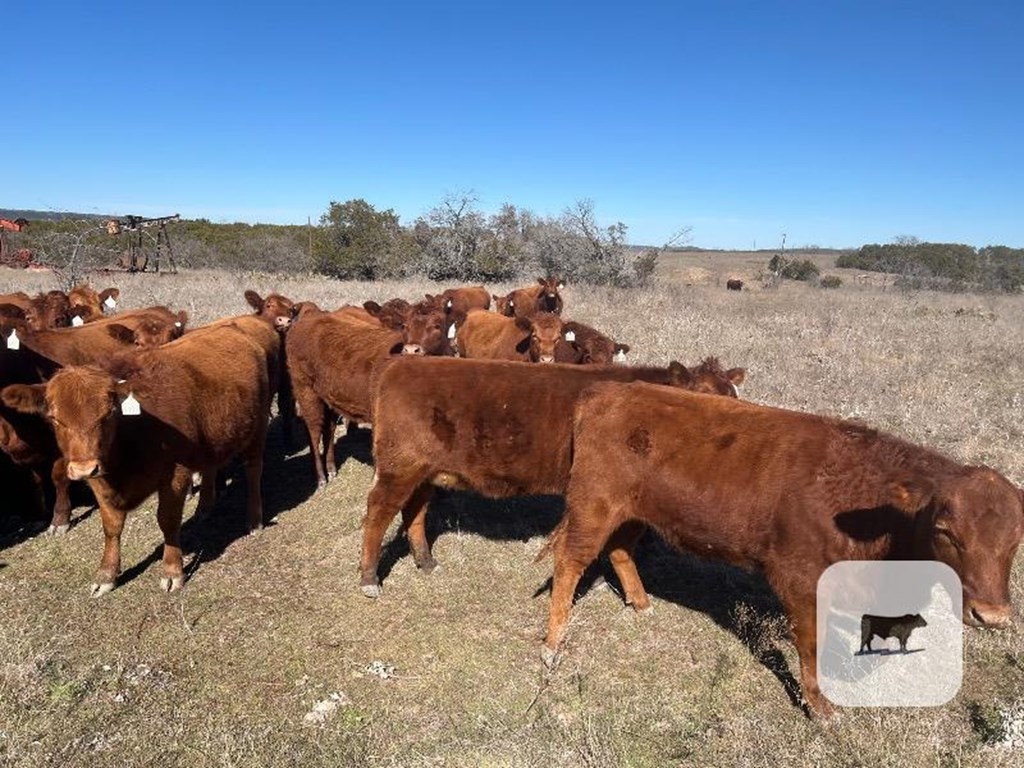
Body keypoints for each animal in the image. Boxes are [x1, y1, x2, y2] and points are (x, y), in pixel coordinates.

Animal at [1, 321, 272, 598]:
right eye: (54, 417)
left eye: (109, 413)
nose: (83, 468)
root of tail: (232, 327)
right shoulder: (99, 479)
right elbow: (111, 526)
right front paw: (106, 574)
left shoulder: (176, 472)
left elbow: (168, 520)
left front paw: (172, 571)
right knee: (210, 468)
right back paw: (204, 508)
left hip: (258, 425)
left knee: (254, 470)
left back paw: (254, 519)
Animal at [360, 358, 745, 598]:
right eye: (701, 397)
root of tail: (398, 364)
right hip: (399, 466)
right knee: (377, 513)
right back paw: (369, 579)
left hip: (424, 472)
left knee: (415, 511)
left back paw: (426, 562)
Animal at [540, 385, 1024, 720]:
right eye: (946, 531)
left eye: (1016, 538)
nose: (992, 615)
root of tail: (608, 390)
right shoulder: (800, 578)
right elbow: (810, 642)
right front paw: (819, 707)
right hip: (592, 505)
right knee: (571, 561)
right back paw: (552, 643)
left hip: (633, 511)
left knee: (620, 550)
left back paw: (641, 603)